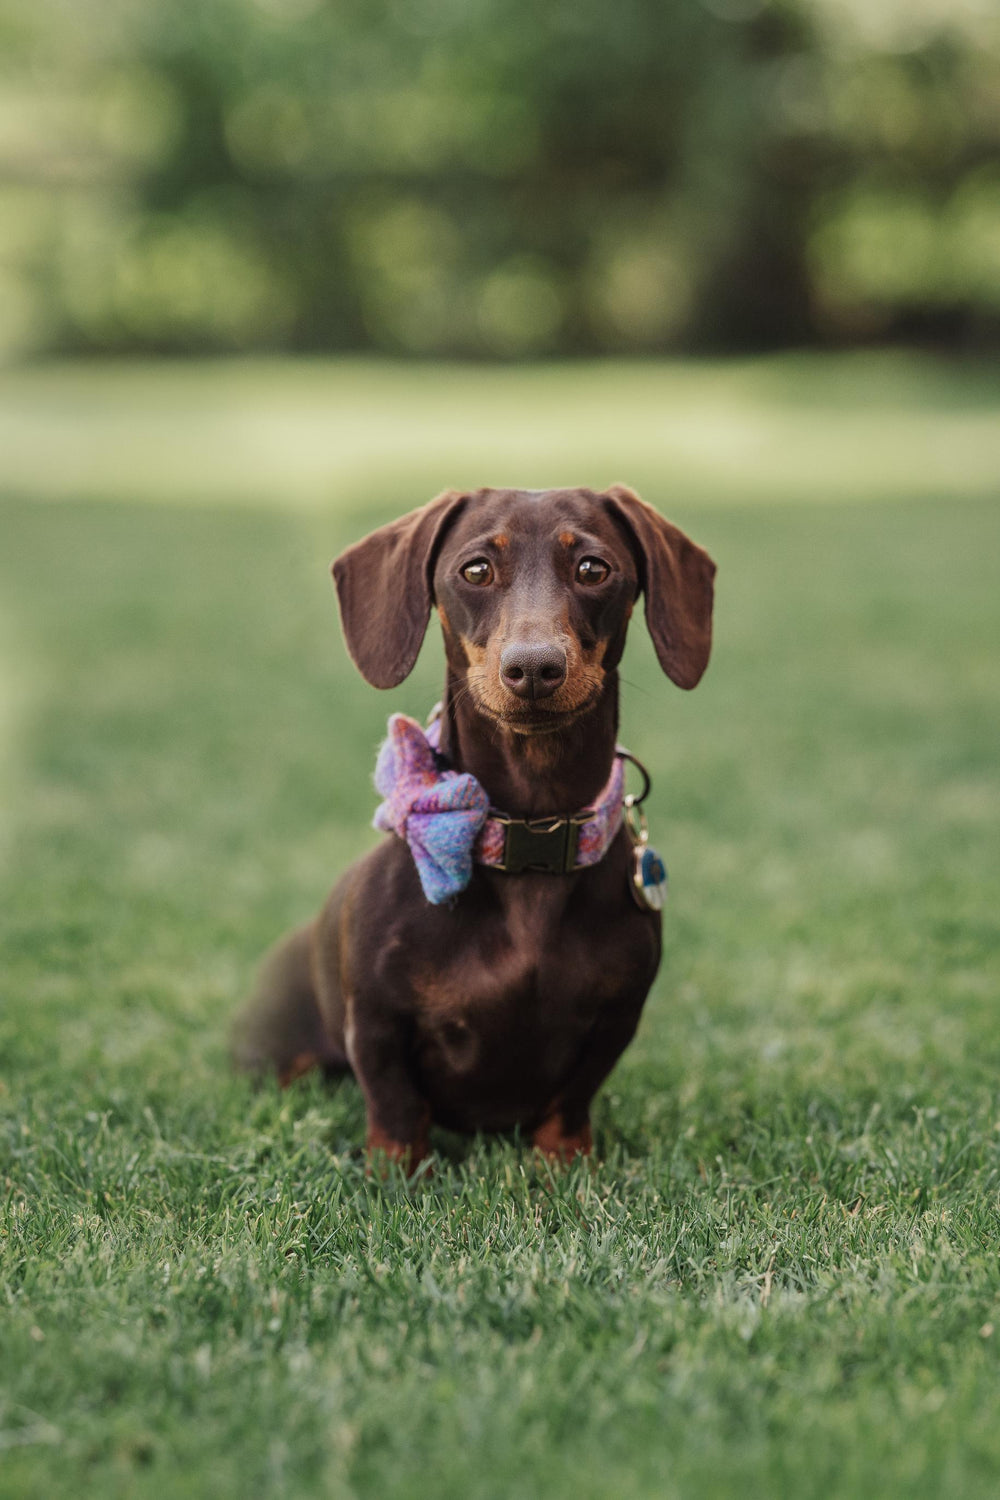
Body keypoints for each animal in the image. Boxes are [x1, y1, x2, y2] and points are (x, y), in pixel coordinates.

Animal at [230, 486, 716, 1164]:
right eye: (477, 569)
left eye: (594, 569)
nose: (534, 668)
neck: (529, 834)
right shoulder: (376, 1024)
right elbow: (395, 1106)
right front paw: (397, 1173)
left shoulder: (616, 1019)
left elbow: (570, 1103)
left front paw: (565, 1165)